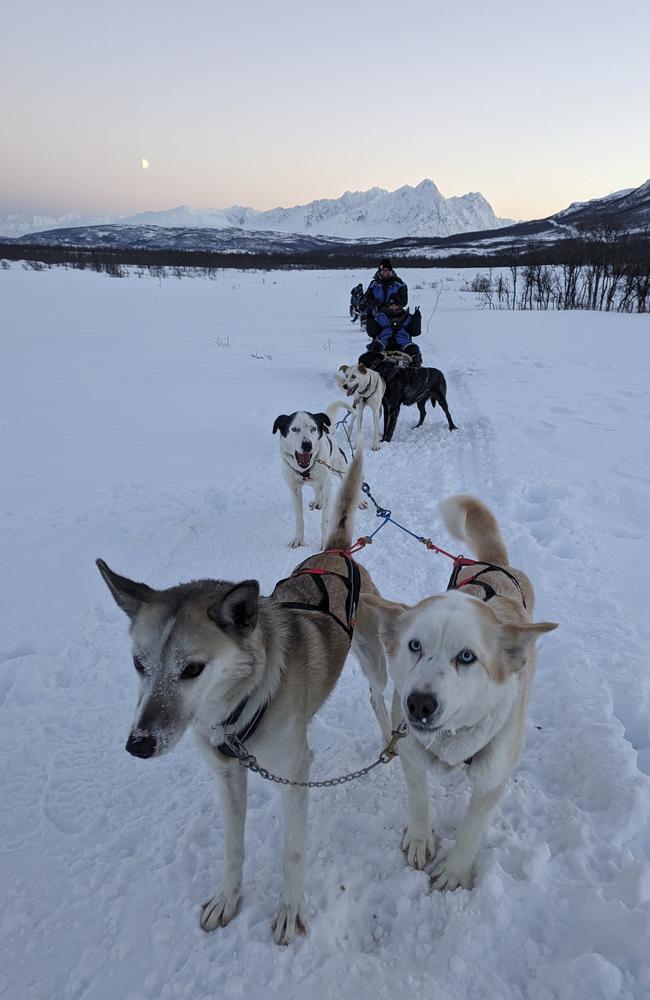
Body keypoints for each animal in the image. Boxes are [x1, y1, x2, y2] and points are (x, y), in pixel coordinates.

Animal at [96, 452, 390, 944]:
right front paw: (227, 899)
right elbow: (233, 846)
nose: (138, 745)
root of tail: (335, 553)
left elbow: (292, 849)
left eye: (192, 669)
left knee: (381, 699)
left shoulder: (296, 772)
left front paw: (290, 910)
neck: (238, 710)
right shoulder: (228, 775)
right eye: (139, 663)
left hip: (374, 662)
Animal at [270, 400, 362, 552]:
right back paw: (317, 500)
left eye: (313, 428)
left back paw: (361, 501)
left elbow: (325, 520)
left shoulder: (327, 486)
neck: (305, 469)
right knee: (315, 487)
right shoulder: (294, 490)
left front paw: (325, 541)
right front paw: (298, 539)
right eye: (294, 429)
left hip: (339, 469)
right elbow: (299, 518)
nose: (307, 445)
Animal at [362, 498, 556, 892]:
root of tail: (498, 565)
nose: (419, 703)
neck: (450, 742)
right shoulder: (410, 751)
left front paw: (454, 870)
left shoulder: (492, 778)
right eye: (415, 646)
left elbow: (472, 829)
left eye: (467, 656)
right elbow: (418, 799)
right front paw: (421, 839)